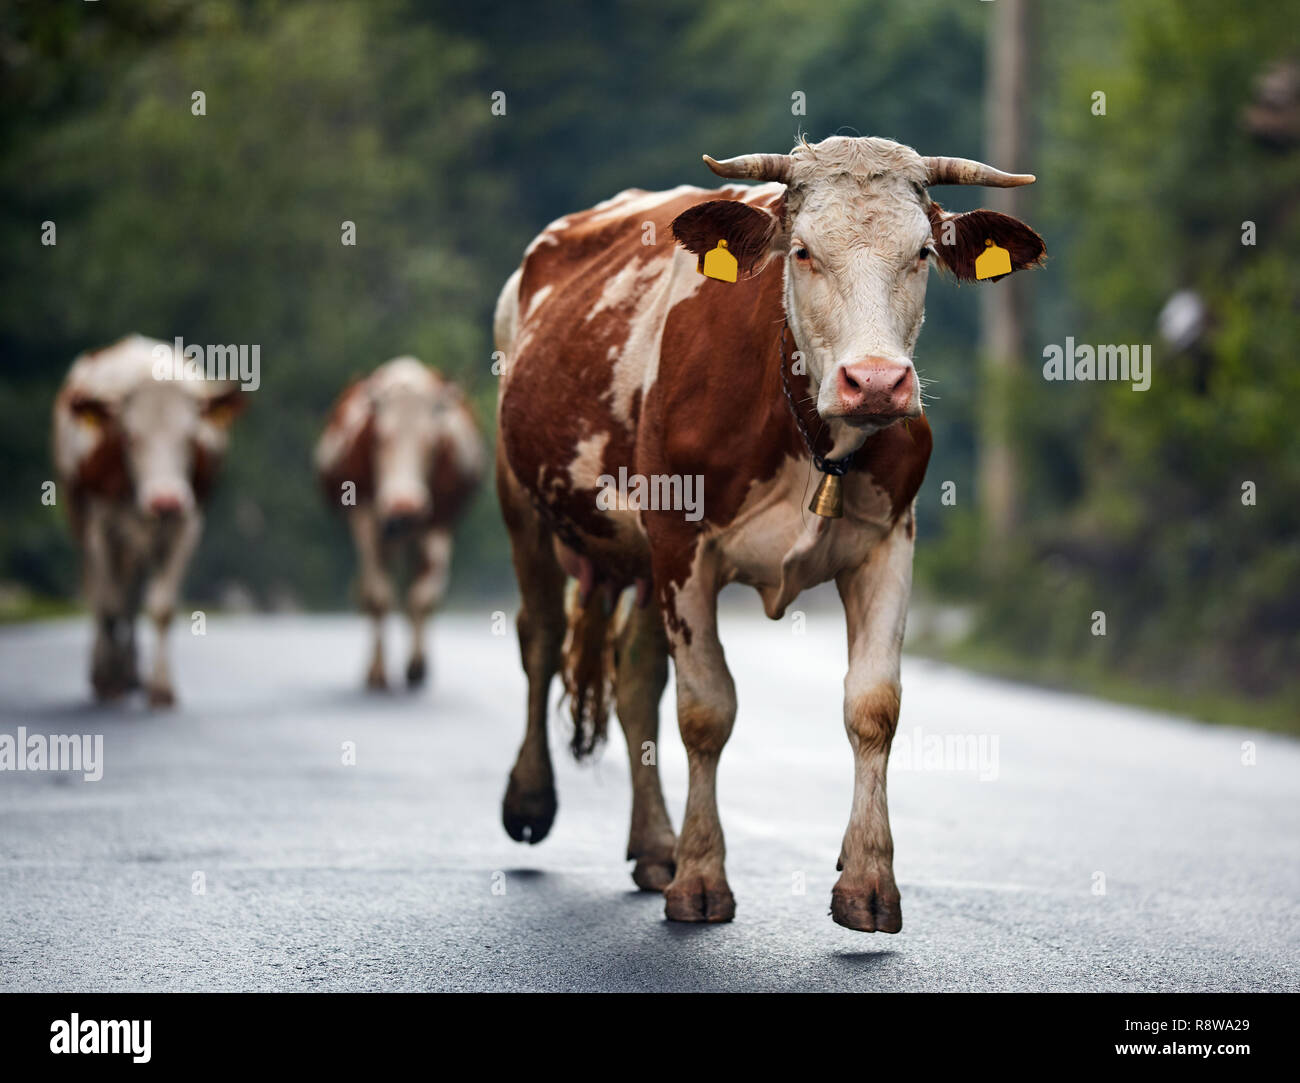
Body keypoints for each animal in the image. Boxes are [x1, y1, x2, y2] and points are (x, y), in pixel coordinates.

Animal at [52, 334, 247, 706]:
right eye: (129, 436)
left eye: (190, 437)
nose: (166, 499)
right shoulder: (101, 528)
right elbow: (109, 604)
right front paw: (108, 682)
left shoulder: (187, 525)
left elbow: (161, 607)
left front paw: (161, 689)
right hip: (80, 520)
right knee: (103, 595)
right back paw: (108, 672)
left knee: (130, 596)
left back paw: (131, 674)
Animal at [315, 358, 485, 690]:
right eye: (380, 438)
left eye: (431, 441)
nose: (404, 507)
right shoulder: (364, 516)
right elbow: (379, 596)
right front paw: (378, 673)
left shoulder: (440, 521)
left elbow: (423, 596)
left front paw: (417, 667)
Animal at [494, 135, 1045, 930]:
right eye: (805, 252)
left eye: (922, 253)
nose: (875, 382)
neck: (807, 429)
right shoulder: (682, 544)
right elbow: (705, 710)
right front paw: (700, 878)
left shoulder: (889, 543)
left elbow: (873, 704)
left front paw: (867, 882)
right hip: (523, 502)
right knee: (538, 638)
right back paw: (533, 799)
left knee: (634, 678)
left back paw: (653, 844)